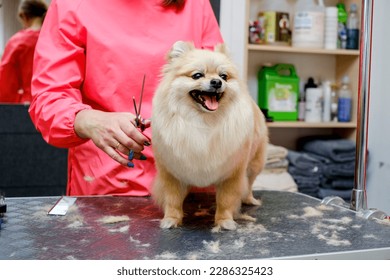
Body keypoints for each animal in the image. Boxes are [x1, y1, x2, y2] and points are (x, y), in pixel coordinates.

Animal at [152, 40, 268, 231]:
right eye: (197, 75)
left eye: (224, 76)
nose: (216, 82)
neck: (203, 122)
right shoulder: (171, 172)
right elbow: (172, 199)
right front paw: (171, 219)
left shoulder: (232, 173)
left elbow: (226, 200)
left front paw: (225, 221)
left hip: (255, 164)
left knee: (249, 183)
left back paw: (249, 199)